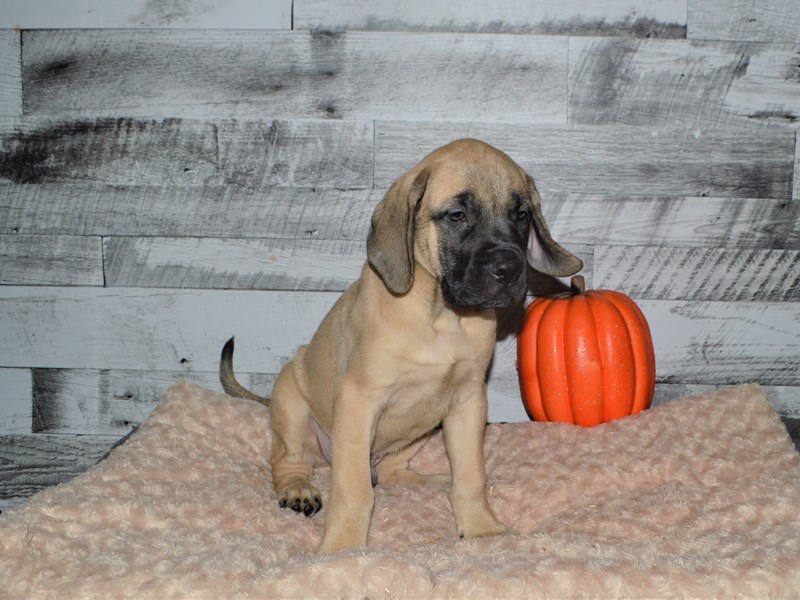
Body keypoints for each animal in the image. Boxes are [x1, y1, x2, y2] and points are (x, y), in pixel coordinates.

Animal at [219, 137, 580, 552]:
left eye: (521, 215)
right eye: (457, 215)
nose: (509, 269)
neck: (441, 315)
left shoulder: (468, 401)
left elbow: (471, 475)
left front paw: (480, 527)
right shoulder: (359, 399)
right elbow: (354, 489)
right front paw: (342, 548)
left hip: (423, 425)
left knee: (393, 470)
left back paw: (433, 482)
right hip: (291, 401)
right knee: (287, 459)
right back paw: (297, 489)